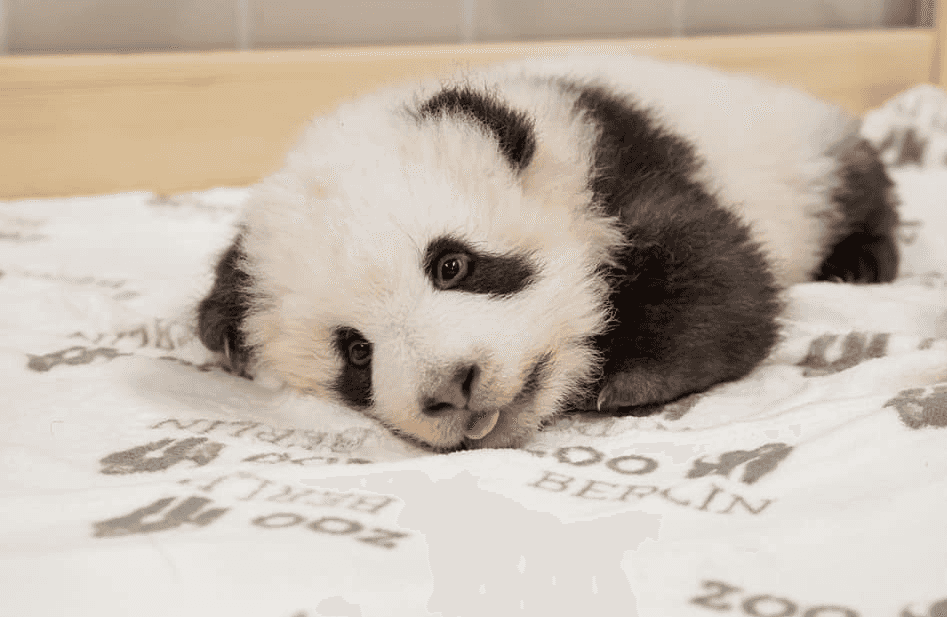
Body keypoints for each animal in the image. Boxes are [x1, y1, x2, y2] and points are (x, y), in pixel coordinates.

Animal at [196, 54, 899, 452]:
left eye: (452, 265)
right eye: (356, 353)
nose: (452, 387)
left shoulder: (615, 162)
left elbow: (726, 278)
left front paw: (625, 378)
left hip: (803, 151)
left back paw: (862, 261)